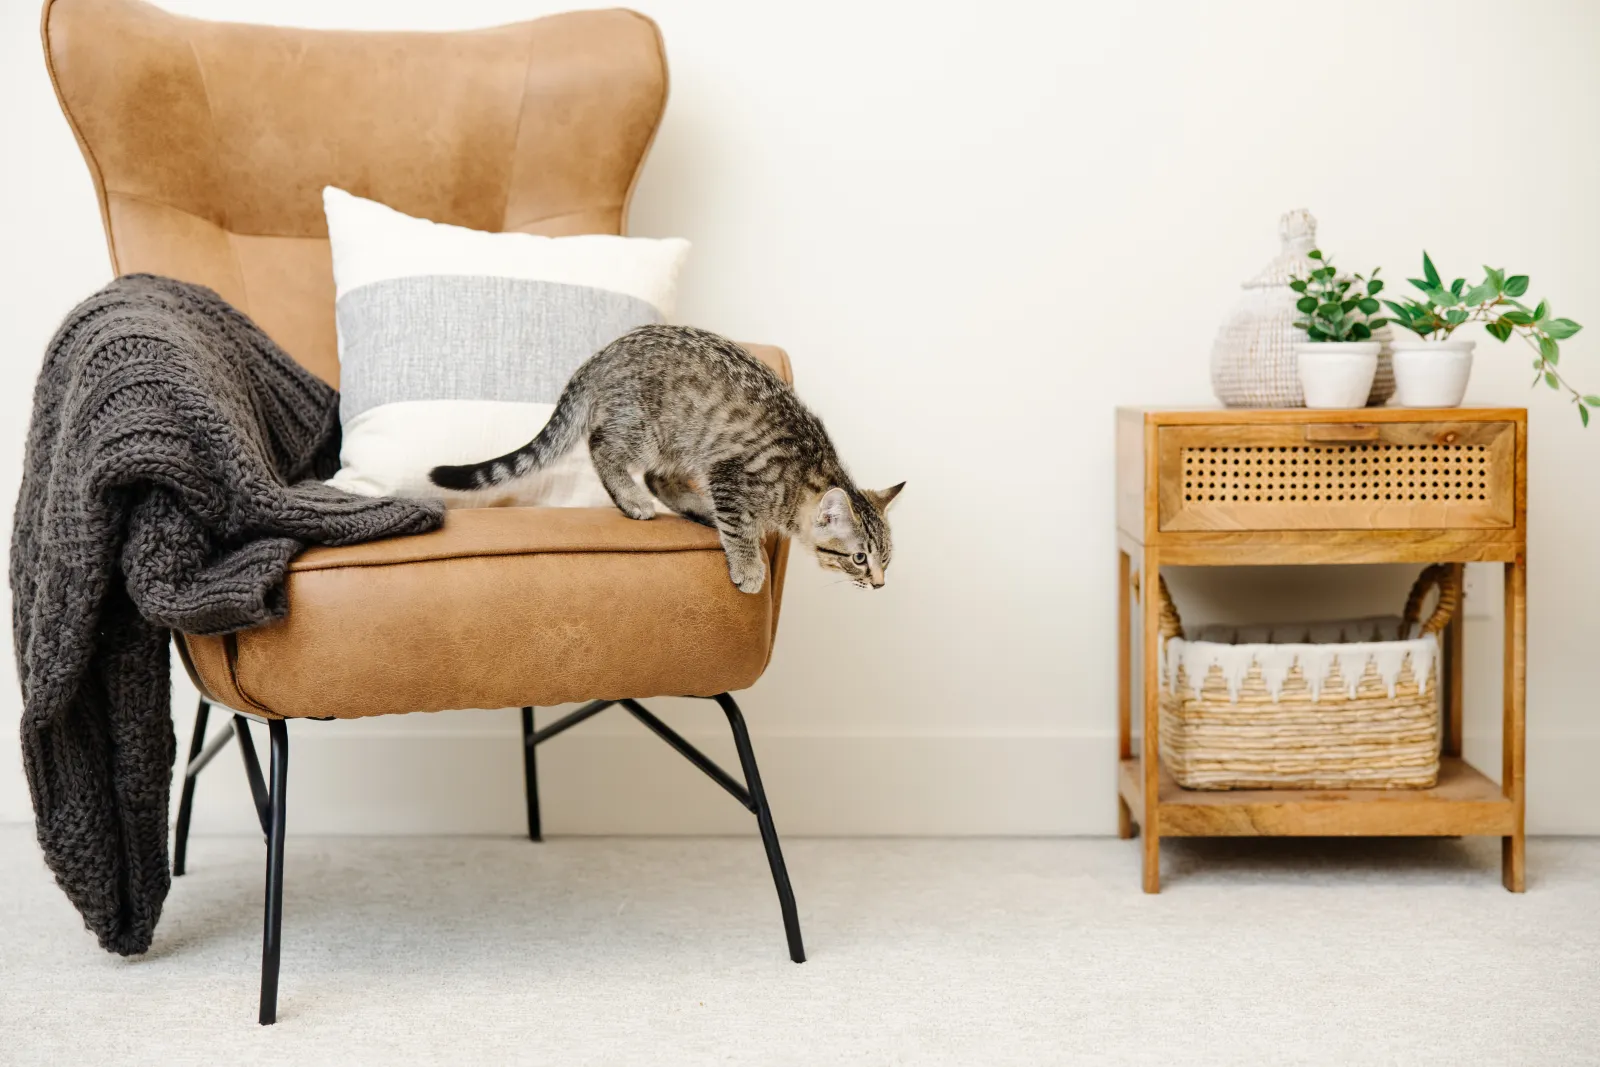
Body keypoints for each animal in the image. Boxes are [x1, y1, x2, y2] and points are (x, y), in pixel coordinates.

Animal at [428, 326, 902, 591]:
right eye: (859, 558)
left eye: (886, 559)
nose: (879, 583)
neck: (804, 474)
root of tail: (603, 353)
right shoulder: (730, 474)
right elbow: (738, 526)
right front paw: (748, 565)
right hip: (646, 428)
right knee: (603, 446)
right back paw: (632, 499)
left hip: (682, 442)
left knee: (659, 478)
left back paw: (698, 508)